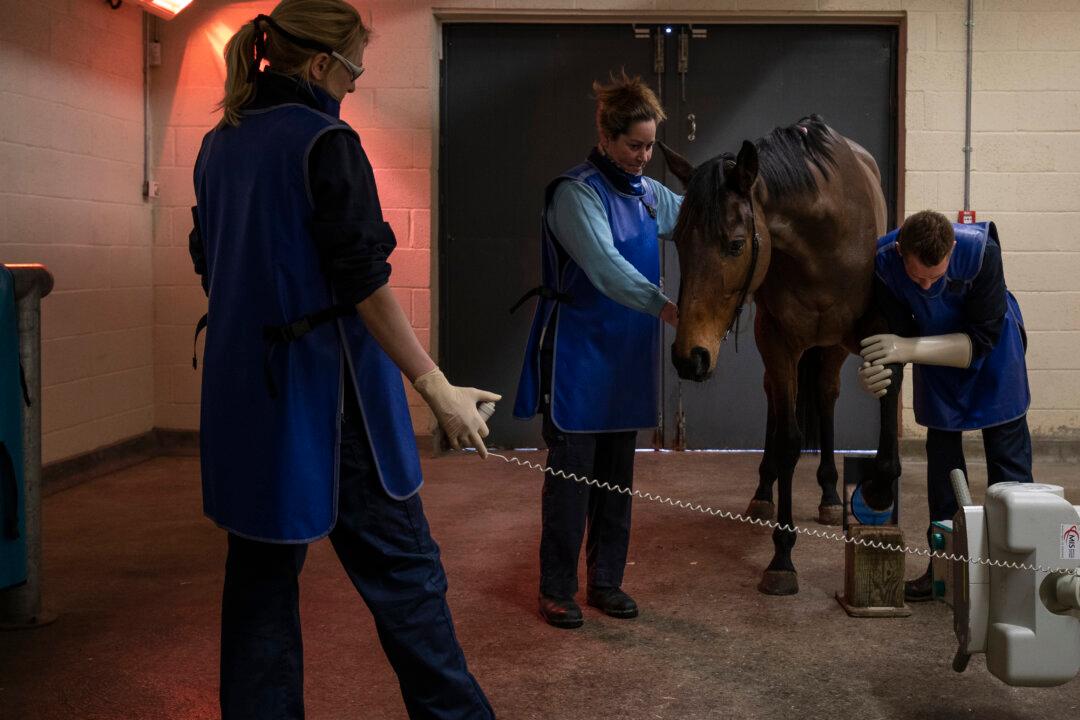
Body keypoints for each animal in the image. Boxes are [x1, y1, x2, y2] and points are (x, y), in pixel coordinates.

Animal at [659, 115, 902, 596]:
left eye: (735, 244)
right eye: (677, 240)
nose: (688, 358)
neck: (824, 239)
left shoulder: (874, 328)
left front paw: (875, 495)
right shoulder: (777, 342)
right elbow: (788, 437)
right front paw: (782, 557)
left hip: (830, 349)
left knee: (825, 397)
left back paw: (829, 494)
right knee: (775, 397)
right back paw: (763, 491)